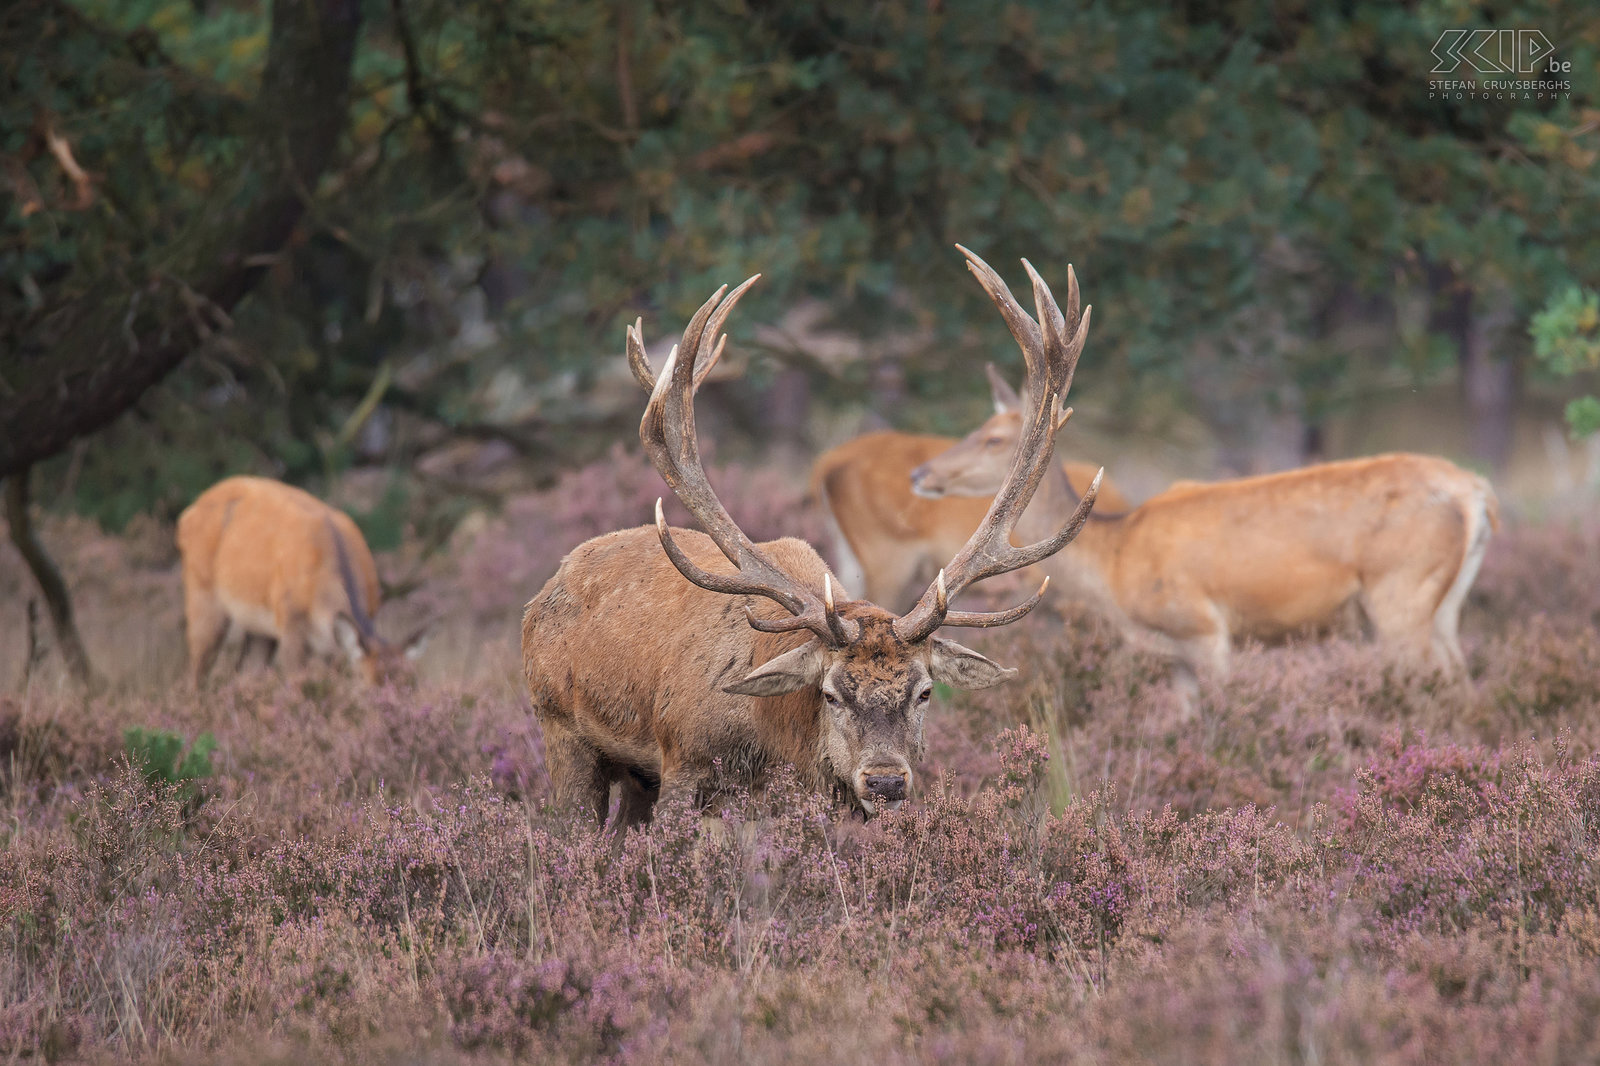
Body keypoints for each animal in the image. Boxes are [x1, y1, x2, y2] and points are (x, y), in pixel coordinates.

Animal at [176, 473, 432, 688]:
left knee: (247, 671)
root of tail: (187, 513)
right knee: (195, 670)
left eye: (413, 683)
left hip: (260, 628)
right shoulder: (290, 621)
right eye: (363, 679)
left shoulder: (332, 645)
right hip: (201, 593)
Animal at [915, 368, 1497, 681]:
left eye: (993, 437)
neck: (1114, 560)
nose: (920, 472)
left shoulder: (1204, 627)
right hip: (1443, 605)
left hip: (1400, 595)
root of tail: (1475, 491)